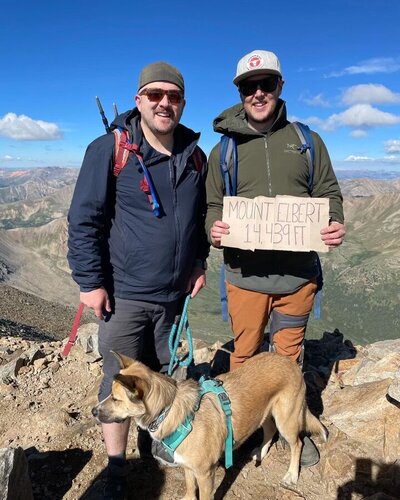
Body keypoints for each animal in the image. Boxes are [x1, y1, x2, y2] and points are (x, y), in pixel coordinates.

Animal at [92, 352, 326, 500]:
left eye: (116, 399)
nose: (94, 411)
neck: (169, 409)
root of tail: (291, 362)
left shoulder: (205, 474)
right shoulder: (187, 466)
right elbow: (189, 487)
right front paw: (187, 498)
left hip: (286, 419)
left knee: (296, 444)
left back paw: (292, 474)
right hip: (267, 414)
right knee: (269, 430)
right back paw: (261, 451)